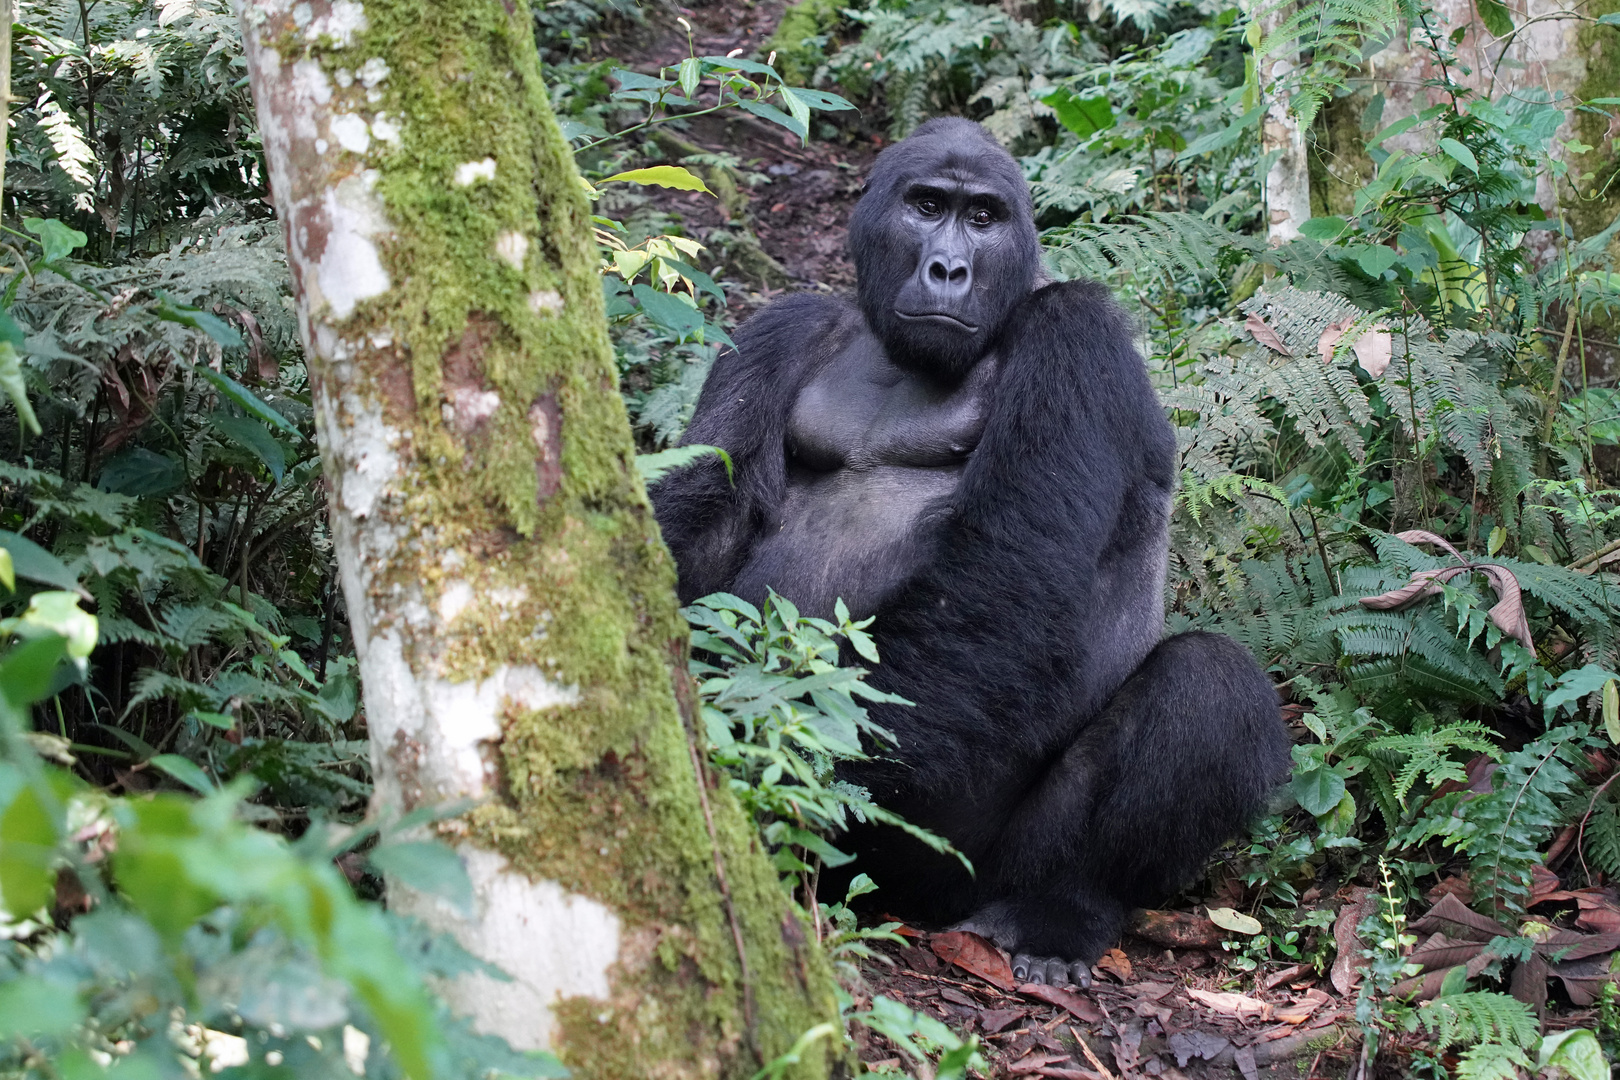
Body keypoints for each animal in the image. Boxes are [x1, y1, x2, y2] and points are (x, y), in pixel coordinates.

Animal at [644, 118, 1289, 990]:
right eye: (926, 206)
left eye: (983, 218)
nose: (947, 267)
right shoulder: (779, 330)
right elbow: (700, 522)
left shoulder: (1076, 332)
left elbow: (1005, 583)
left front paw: (778, 751)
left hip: (975, 869)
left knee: (1211, 683)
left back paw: (1062, 910)